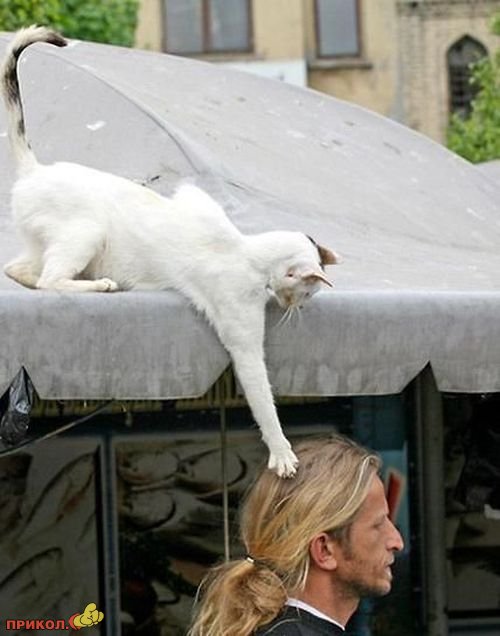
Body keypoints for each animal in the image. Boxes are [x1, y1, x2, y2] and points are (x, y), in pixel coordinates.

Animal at [1, 26, 338, 477]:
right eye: (308, 292)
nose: (299, 307)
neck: (247, 248)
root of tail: (35, 170)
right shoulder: (243, 340)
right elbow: (264, 402)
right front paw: (282, 452)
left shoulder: (191, 195)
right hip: (87, 234)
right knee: (50, 281)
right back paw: (102, 285)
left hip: (49, 245)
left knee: (20, 270)